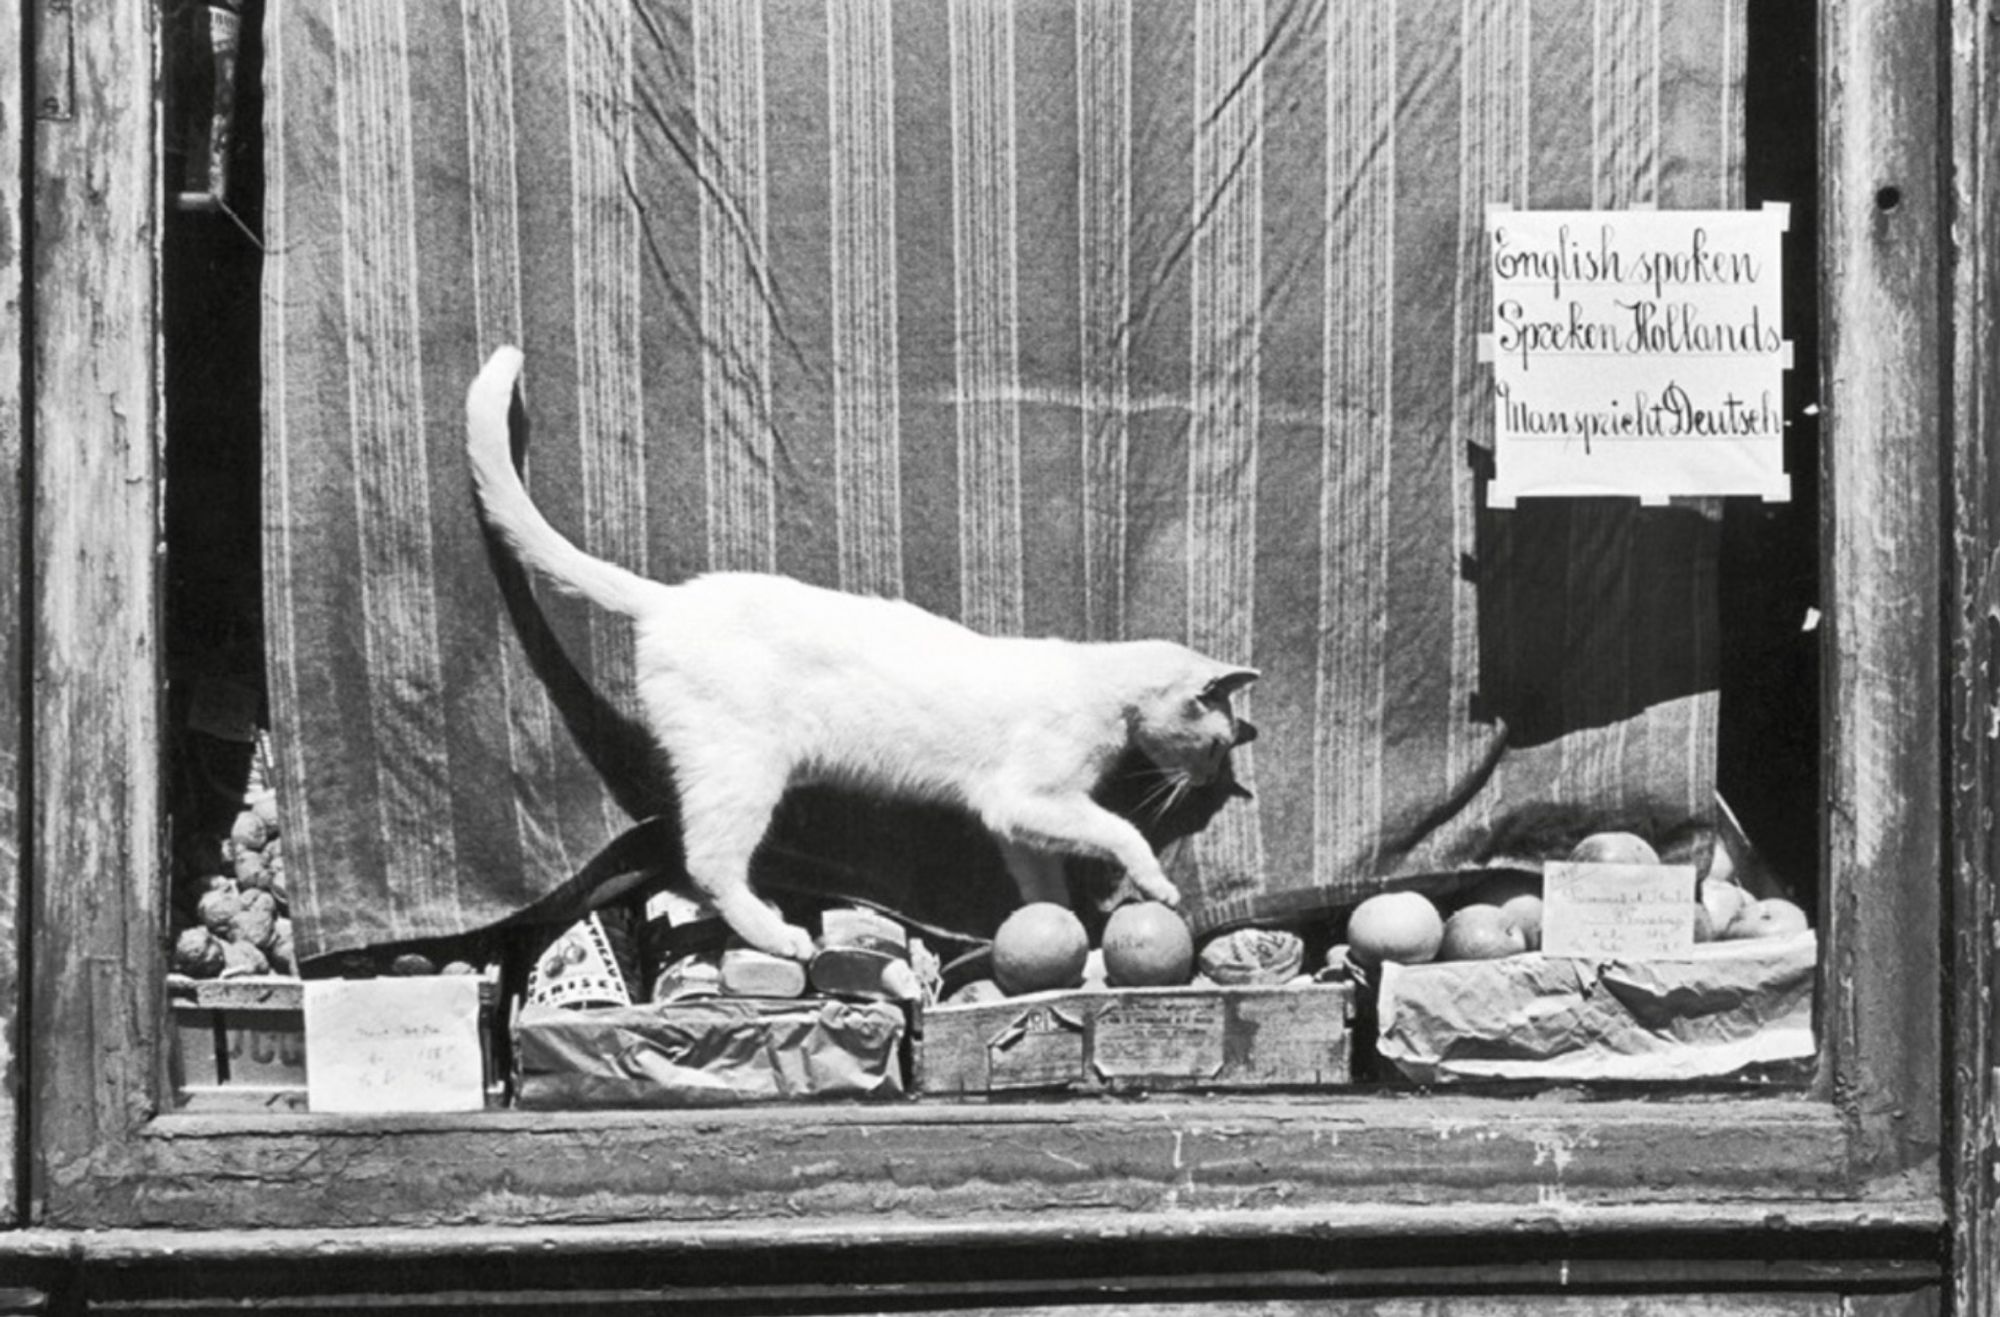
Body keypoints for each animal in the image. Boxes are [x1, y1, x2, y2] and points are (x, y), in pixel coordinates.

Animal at [466, 344, 1248, 960]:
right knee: (708, 863)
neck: (1102, 692)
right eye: (1214, 746)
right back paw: (782, 936)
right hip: (742, 769)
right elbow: (1120, 831)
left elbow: (1042, 886)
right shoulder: (1027, 798)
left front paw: (1061, 934)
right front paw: (1158, 885)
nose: (1213, 780)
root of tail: (672, 599)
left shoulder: (1017, 824)